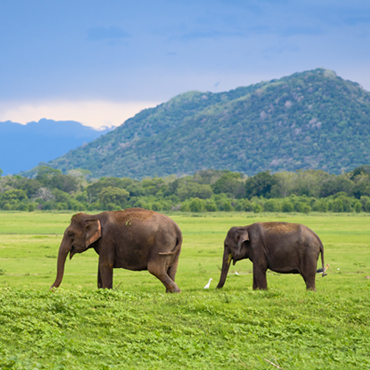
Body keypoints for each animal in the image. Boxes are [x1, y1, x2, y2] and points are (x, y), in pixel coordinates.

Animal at [49, 208, 183, 292]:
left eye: (70, 234)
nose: (50, 290)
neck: (93, 216)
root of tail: (177, 229)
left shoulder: (107, 239)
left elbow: (105, 264)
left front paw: (107, 291)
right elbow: (100, 266)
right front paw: (101, 291)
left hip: (162, 243)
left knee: (155, 268)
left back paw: (176, 291)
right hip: (174, 248)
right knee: (172, 268)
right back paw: (169, 293)